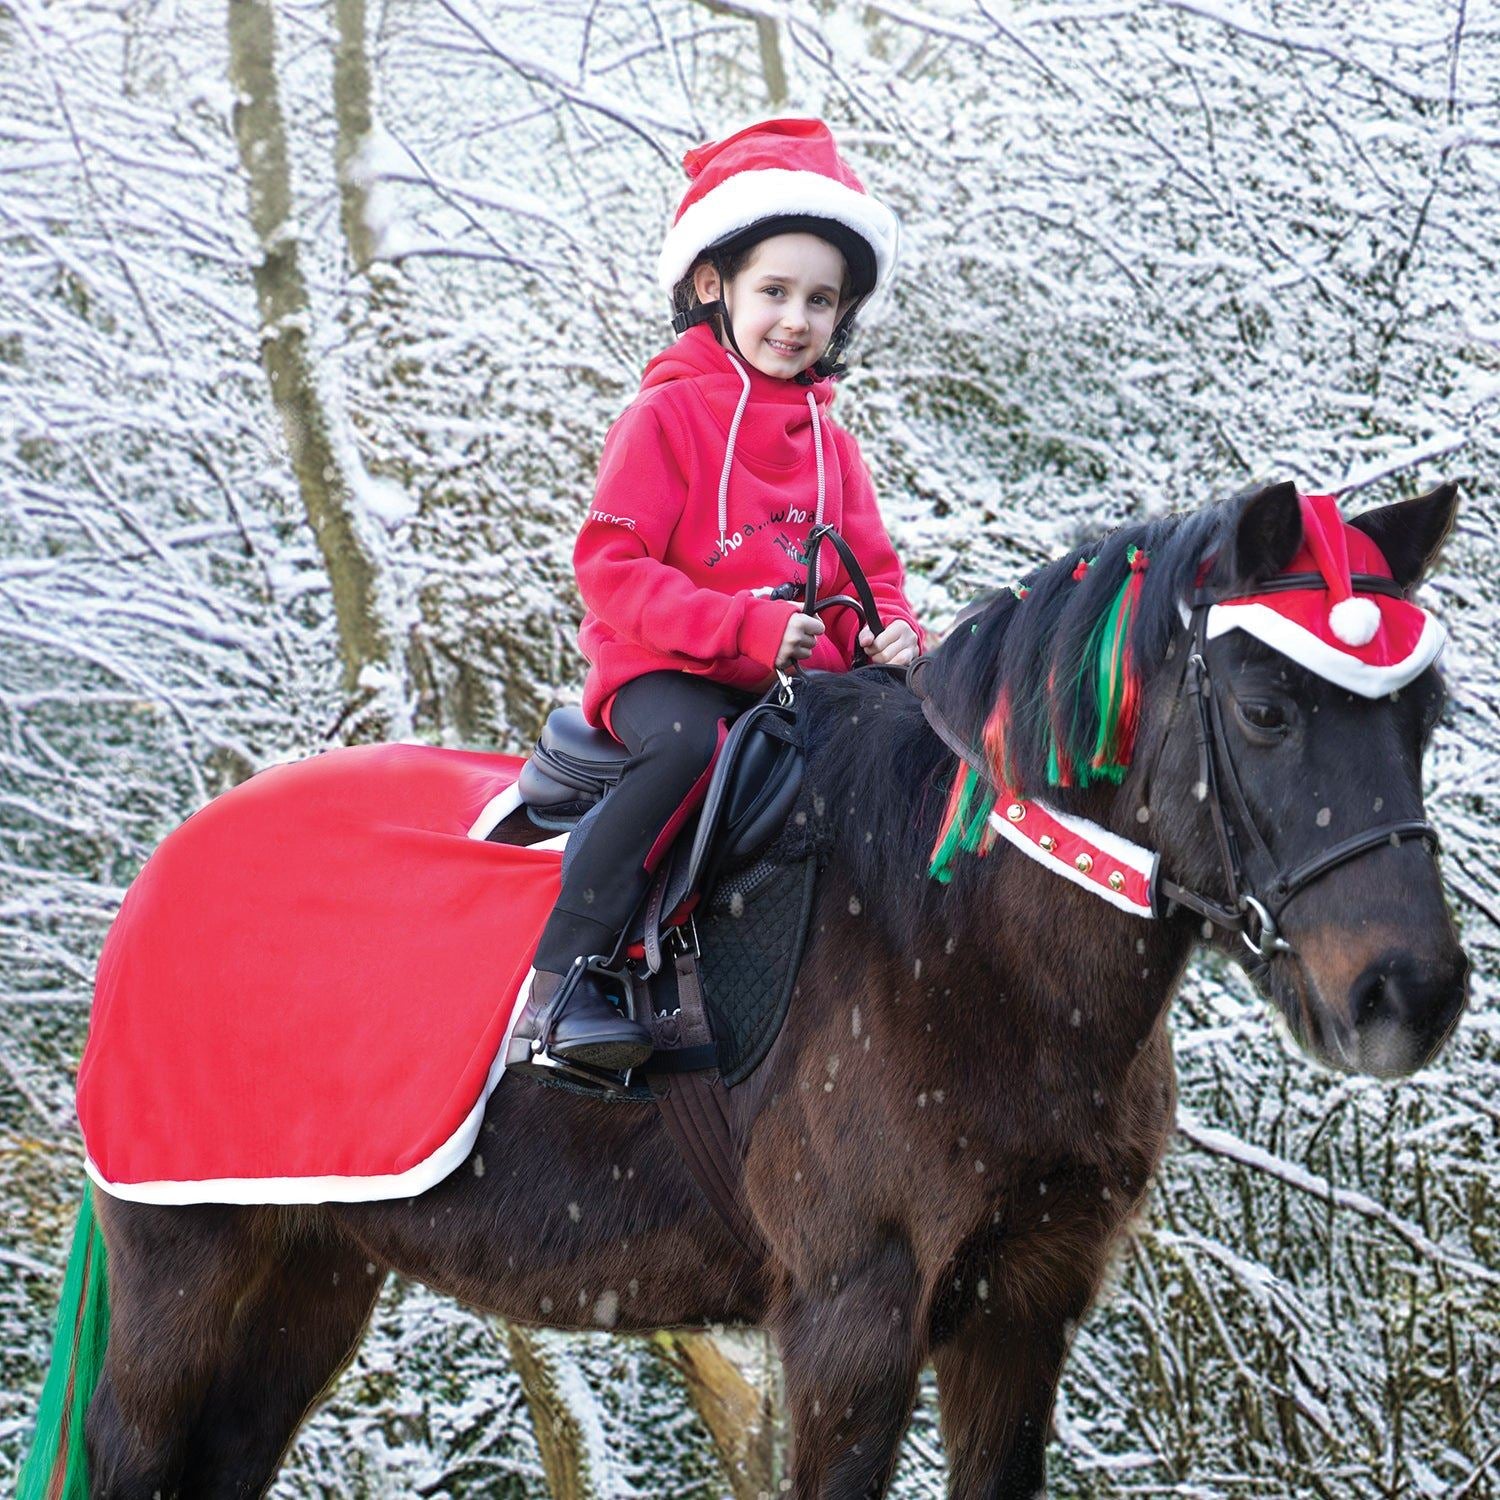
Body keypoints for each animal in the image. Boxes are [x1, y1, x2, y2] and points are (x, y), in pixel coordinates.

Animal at [21, 478, 1469, 1499]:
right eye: (1267, 709)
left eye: (1425, 713)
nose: (1409, 994)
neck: (955, 938)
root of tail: (167, 866)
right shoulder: (852, 1323)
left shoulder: (1023, 1312)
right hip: (185, 1268)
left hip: (314, 1269)